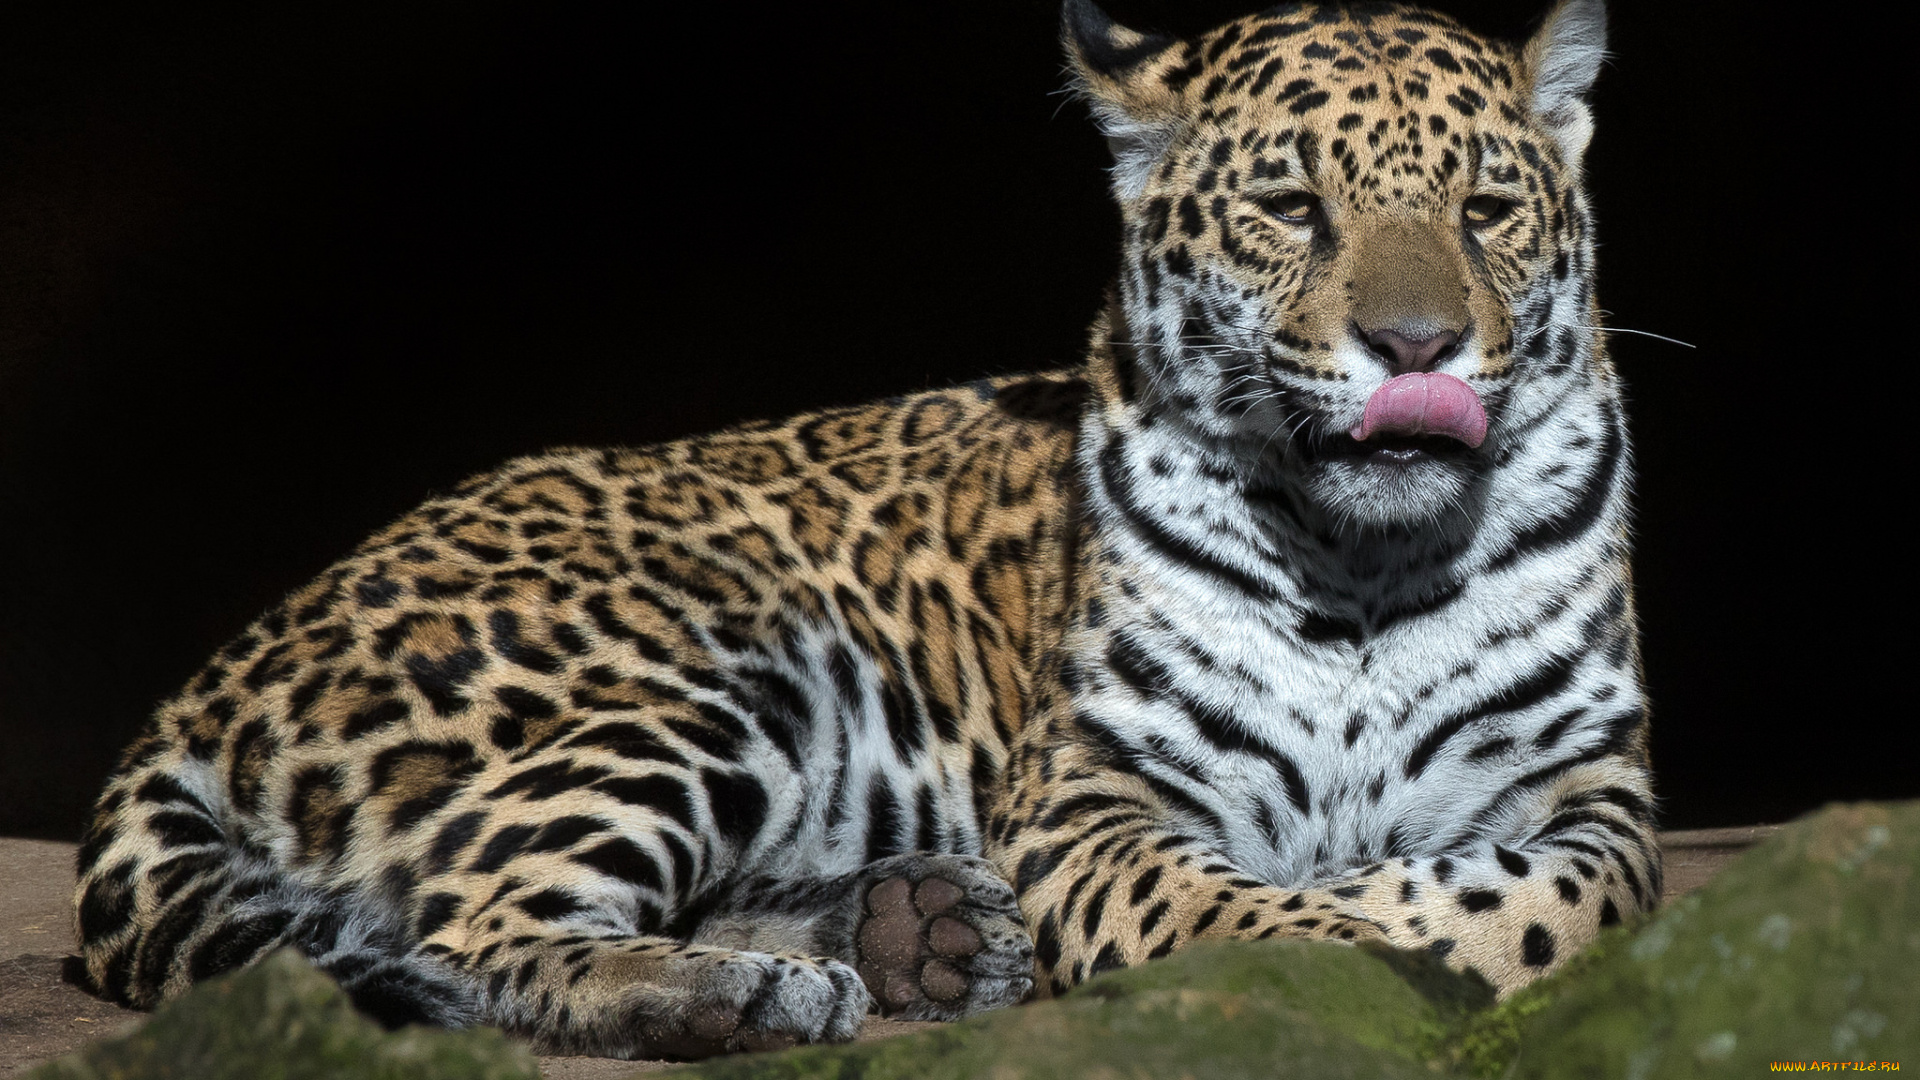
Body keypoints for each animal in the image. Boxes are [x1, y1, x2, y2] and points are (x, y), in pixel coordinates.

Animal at [73, 0, 1659, 1059]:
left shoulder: (1595, 791)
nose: (1418, 346)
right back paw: (754, 991)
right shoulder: (1091, 799)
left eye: (1487, 207)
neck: (1362, 565)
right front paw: (1352, 942)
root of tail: (205, 681)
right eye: (1289, 205)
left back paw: (919, 934)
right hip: (719, 673)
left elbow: (1550, 902)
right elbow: (1260, 914)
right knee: (471, 925)